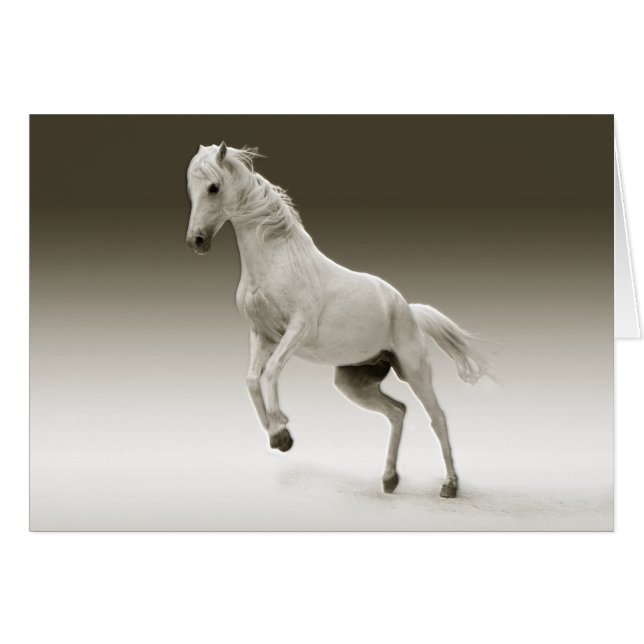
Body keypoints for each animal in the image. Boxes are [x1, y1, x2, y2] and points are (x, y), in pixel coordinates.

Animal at [185, 142, 491, 498]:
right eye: (191, 188)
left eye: (213, 187)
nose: (197, 241)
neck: (277, 260)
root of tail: (407, 309)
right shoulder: (262, 334)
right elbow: (250, 379)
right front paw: (277, 433)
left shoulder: (296, 331)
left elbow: (271, 371)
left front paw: (281, 432)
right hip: (353, 382)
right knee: (397, 412)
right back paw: (389, 479)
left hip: (414, 370)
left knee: (438, 418)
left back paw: (449, 485)